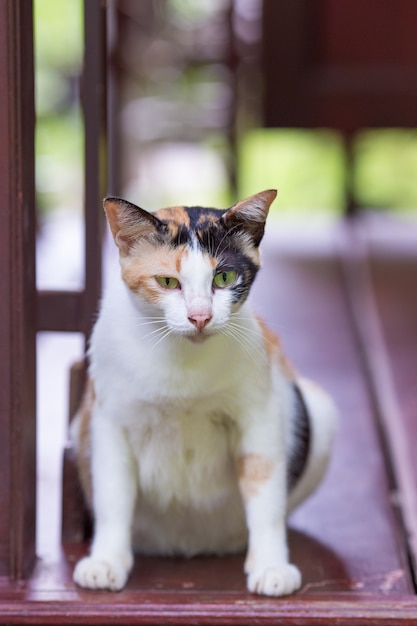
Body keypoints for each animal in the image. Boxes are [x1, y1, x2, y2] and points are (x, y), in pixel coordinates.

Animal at [71, 189, 336, 596]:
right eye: (167, 281)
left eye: (223, 277)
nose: (199, 316)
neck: (182, 363)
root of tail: (190, 546)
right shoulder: (110, 421)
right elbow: (112, 495)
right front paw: (106, 562)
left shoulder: (259, 415)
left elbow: (265, 494)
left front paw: (271, 566)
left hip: (317, 410)